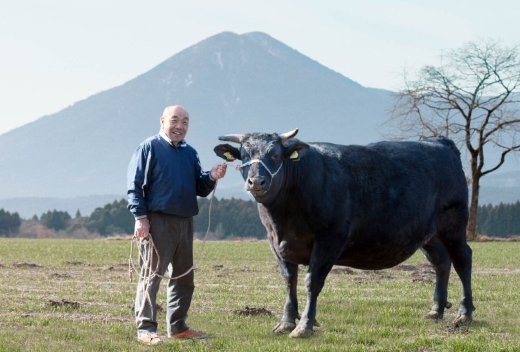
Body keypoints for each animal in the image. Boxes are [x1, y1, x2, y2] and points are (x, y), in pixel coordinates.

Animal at [213, 129, 474, 338]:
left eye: (275, 154)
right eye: (244, 155)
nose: (257, 181)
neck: (284, 217)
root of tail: (439, 142)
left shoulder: (330, 239)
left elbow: (312, 281)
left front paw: (304, 325)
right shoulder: (275, 242)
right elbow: (289, 279)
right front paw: (286, 322)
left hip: (454, 226)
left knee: (463, 260)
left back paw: (465, 313)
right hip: (428, 235)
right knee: (441, 263)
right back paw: (436, 310)